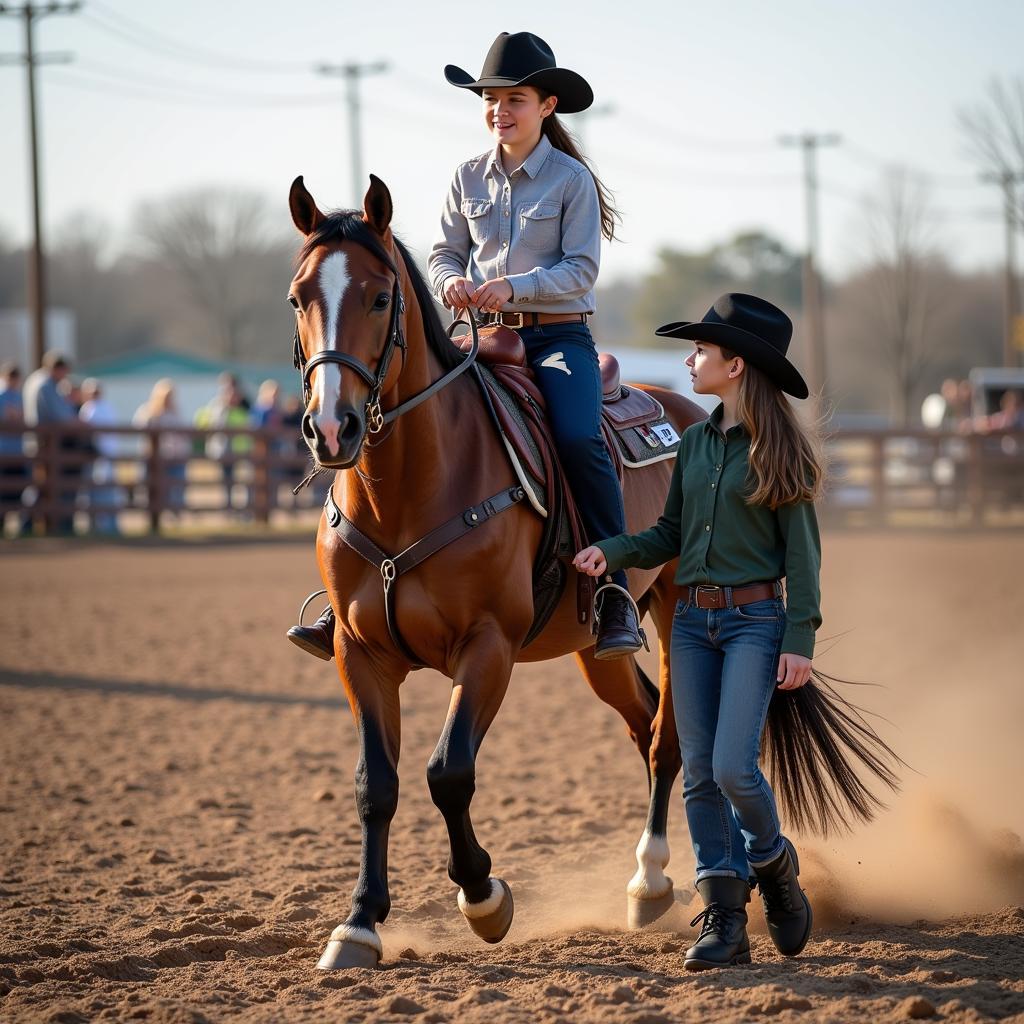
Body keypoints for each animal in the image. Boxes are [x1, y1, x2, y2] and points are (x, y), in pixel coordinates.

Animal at [284, 169, 901, 966]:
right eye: (298, 297)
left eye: (379, 297)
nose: (332, 428)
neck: (412, 493)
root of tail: (690, 409)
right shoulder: (359, 654)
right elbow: (375, 785)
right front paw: (359, 922)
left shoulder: (487, 648)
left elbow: (449, 772)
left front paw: (485, 898)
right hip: (594, 647)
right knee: (648, 726)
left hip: (673, 612)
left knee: (672, 740)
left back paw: (654, 879)